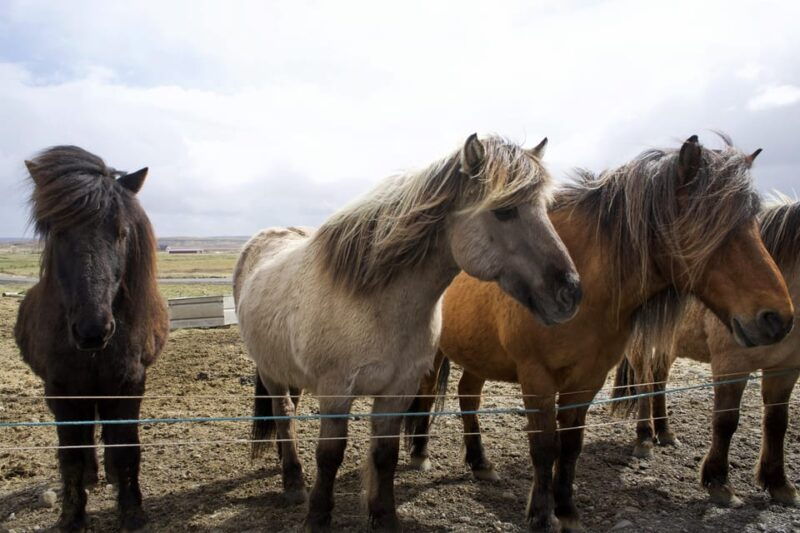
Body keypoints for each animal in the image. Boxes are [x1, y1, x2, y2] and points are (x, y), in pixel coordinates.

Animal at [14, 146, 169, 532]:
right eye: (57, 231)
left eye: (121, 232)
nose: (92, 329)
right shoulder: (62, 391)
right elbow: (70, 455)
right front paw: (72, 516)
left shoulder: (128, 386)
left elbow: (126, 449)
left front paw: (131, 511)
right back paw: (92, 477)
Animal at [233, 134, 582, 532]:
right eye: (504, 210)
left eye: (544, 208)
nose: (570, 293)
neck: (376, 303)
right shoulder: (337, 391)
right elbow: (330, 456)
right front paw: (318, 518)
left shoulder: (398, 389)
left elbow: (385, 455)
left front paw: (384, 517)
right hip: (271, 372)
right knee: (282, 414)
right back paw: (293, 483)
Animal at [612, 196, 800, 508]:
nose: (777, 321)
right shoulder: (731, 365)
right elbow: (726, 421)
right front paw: (719, 483)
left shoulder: (785, 370)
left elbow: (777, 423)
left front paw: (779, 484)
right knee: (645, 384)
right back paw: (645, 438)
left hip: (668, 346)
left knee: (659, 381)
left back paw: (665, 432)